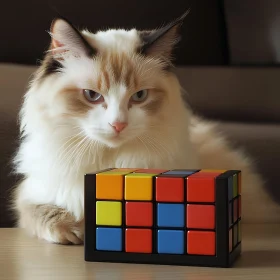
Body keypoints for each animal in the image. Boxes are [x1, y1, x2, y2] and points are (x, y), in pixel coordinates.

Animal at [12, 10, 280, 244]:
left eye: (139, 96)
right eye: (92, 95)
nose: (118, 124)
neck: (108, 161)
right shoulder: (29, 194)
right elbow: (43, 211)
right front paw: (73, 232)